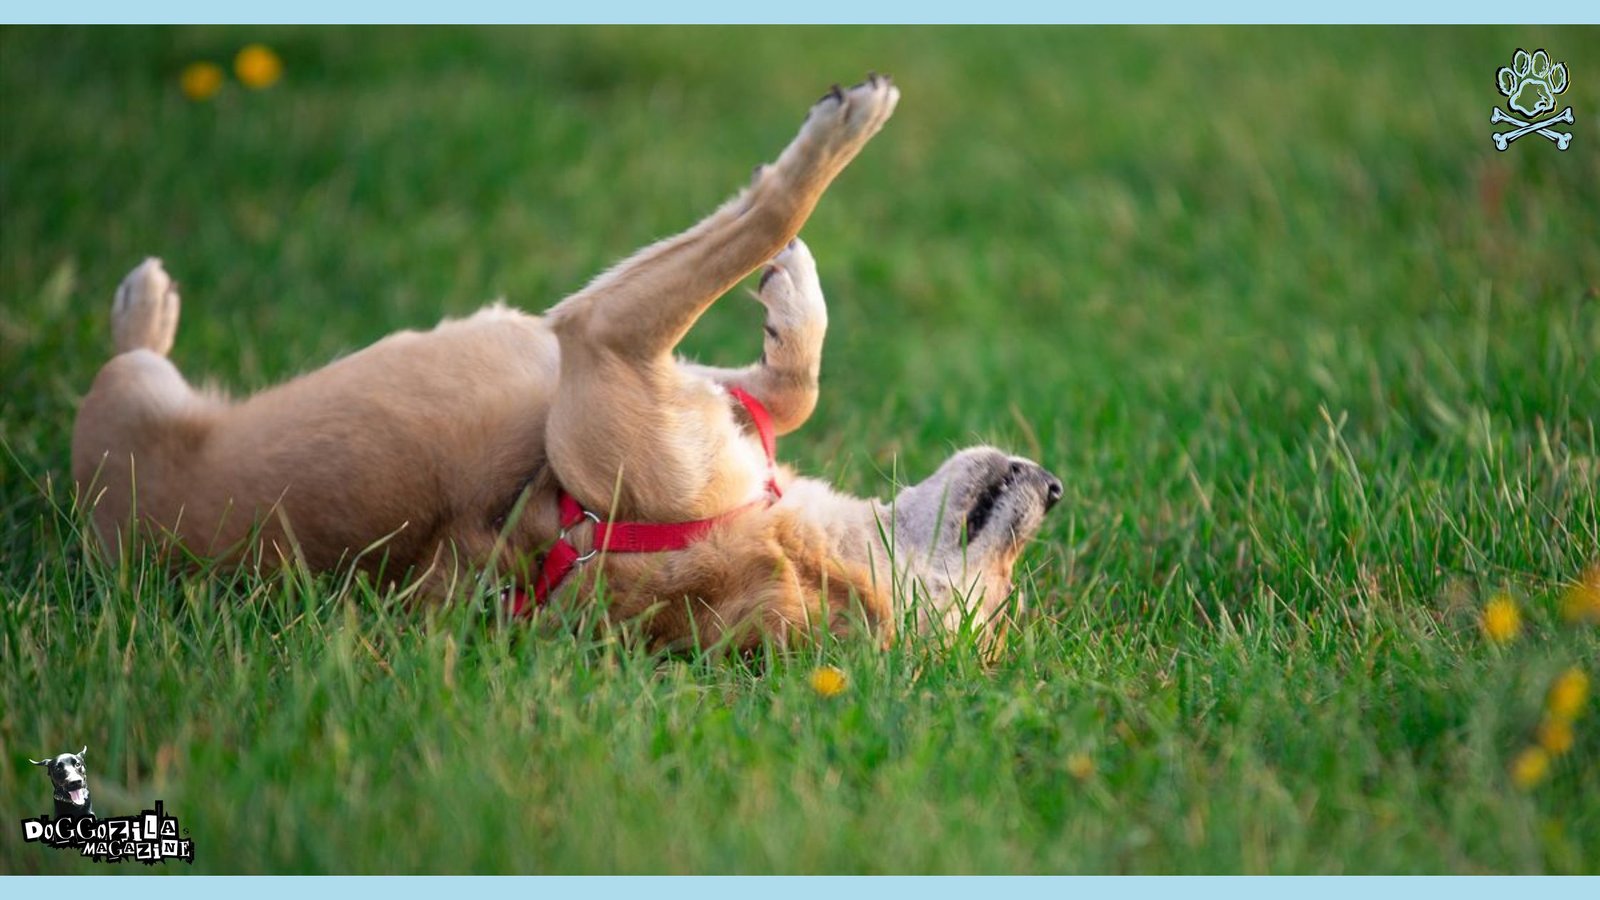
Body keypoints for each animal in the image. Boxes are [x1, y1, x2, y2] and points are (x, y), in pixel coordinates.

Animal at [72, 76, 1062, 646]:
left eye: (992, 607)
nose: (1055, 488)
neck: (768, 535)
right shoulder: (644, 364)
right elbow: (787, 386)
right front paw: (793, 303)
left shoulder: (601, 337)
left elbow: (769, 211)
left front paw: (837, 137)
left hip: (125, 402)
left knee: (127, 357)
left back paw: (142, 305)